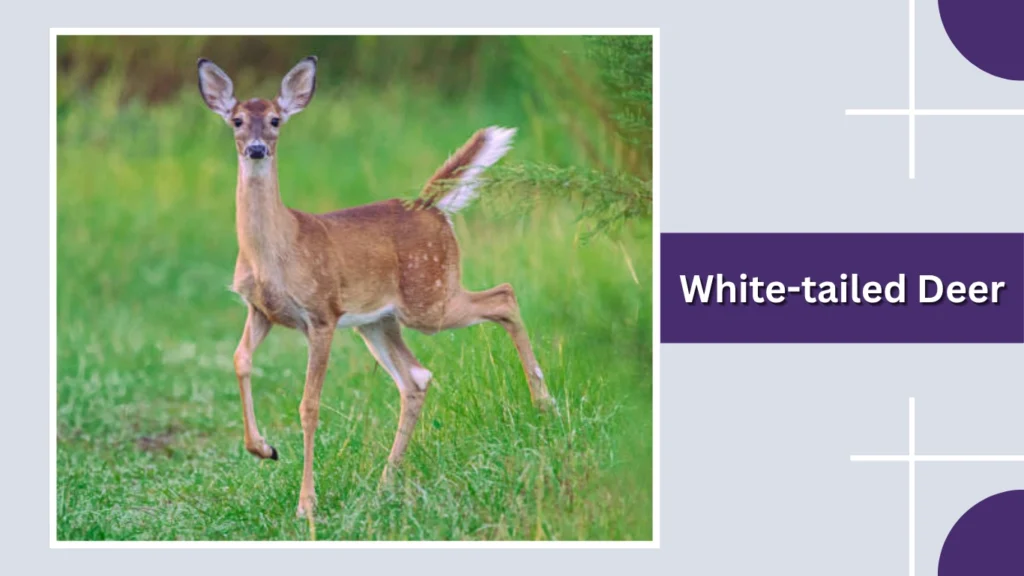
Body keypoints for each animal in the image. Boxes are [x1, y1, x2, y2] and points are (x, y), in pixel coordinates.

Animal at [196, 55, 554, 518]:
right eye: (237, 120)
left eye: (275, 120)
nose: (257, 148)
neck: (275, 252)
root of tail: (430, 205)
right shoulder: (260, 310)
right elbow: (239, 359)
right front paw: (263, 448)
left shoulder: (323, 313)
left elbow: (309, 405)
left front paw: (306, 503)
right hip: (379, 321)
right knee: (417, 377)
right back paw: (386, 482)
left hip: (429, 297)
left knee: (504, 295)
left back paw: (544, 403)